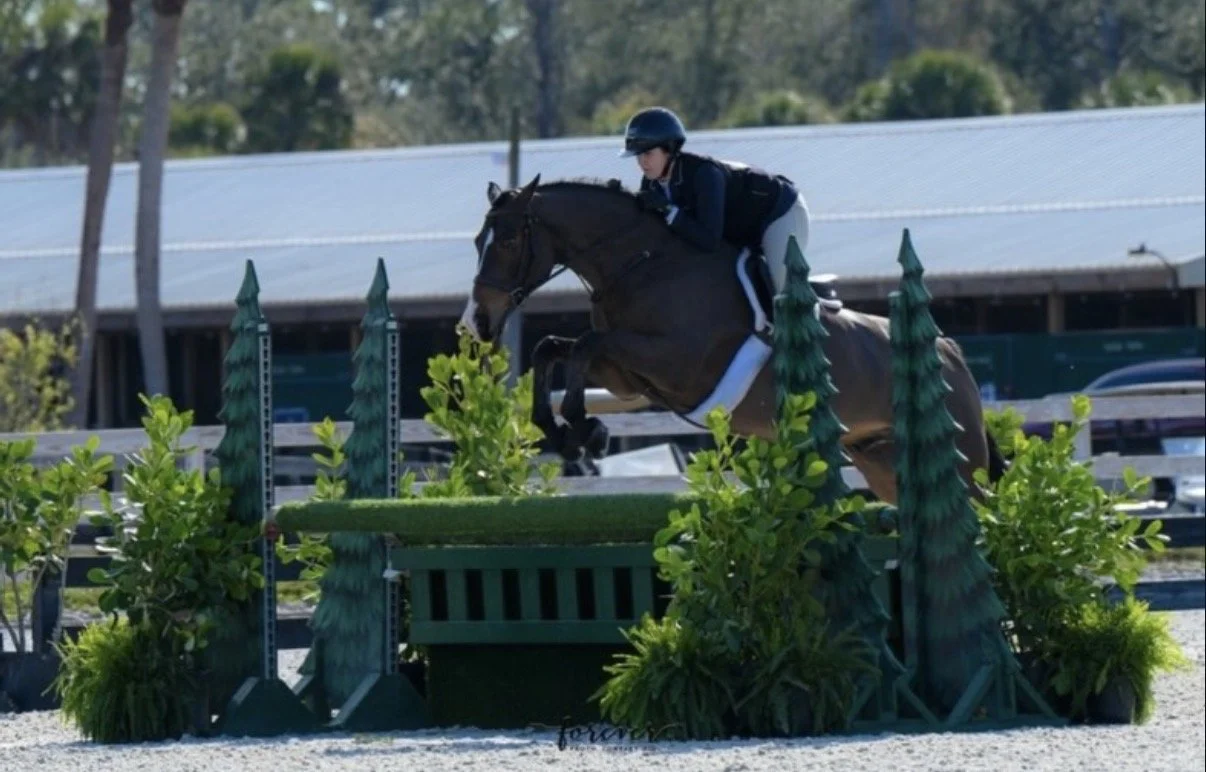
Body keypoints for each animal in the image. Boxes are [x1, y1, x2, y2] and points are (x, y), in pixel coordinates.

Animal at [460, 174, 1003, 505]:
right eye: (477, 241)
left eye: (508, 240)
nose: (478, 322)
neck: (644, 263)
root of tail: (951, 352)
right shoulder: (626, 378)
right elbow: (553, 348)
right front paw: (563, 432)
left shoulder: (677, 364)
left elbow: (586, 343)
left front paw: (583, 429)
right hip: (882, 461)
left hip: (961, 463)